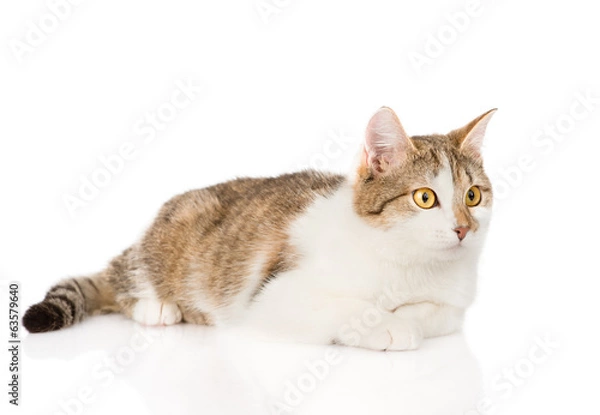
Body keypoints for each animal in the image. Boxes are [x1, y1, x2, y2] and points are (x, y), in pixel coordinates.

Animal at [22, 106, 496, 352]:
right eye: (425, 198)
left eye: (473, 196)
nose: (462, 229)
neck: (407, 260)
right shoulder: (271, 295)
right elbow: (345, 308)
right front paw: (385, 324)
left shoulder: (453, 306)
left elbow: (430, 313)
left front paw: (404, 318)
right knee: (120, 284)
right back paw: (156, 307)